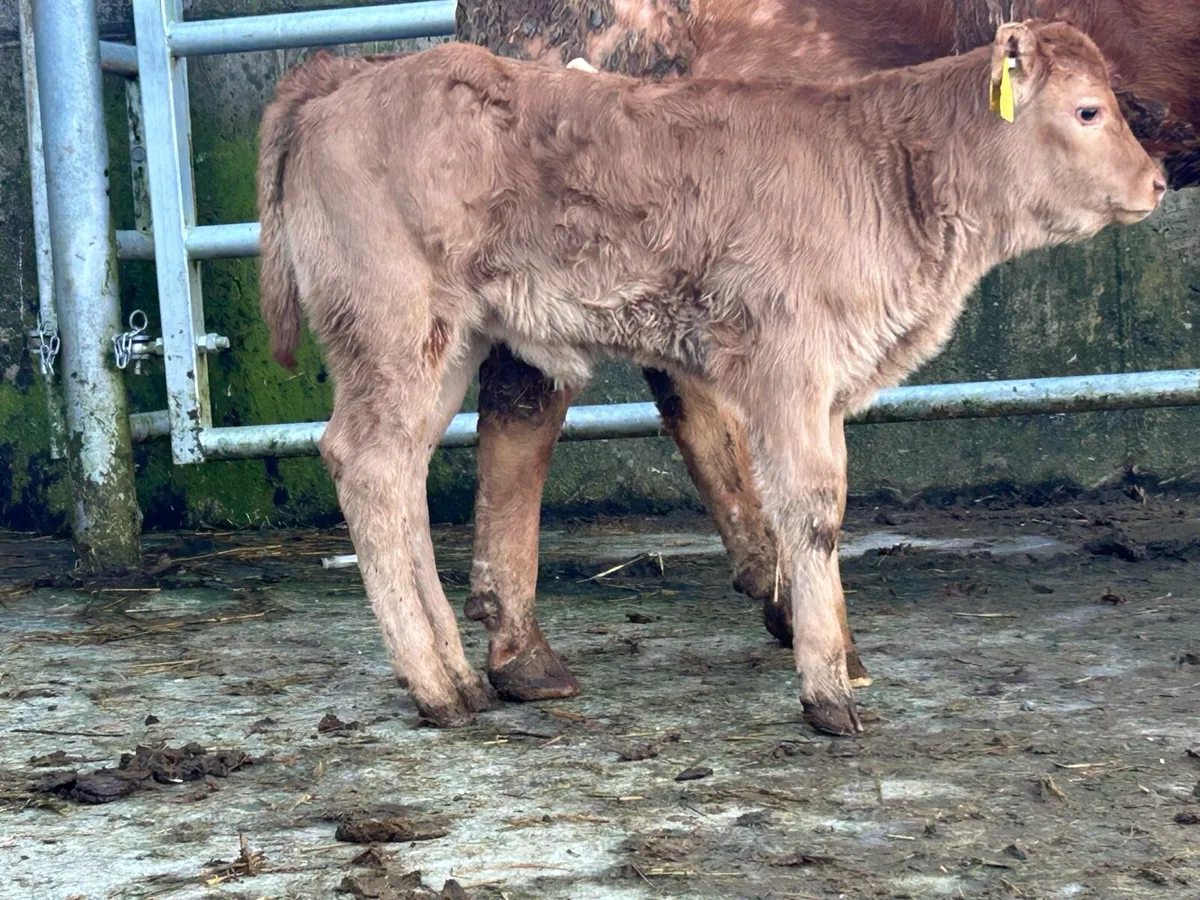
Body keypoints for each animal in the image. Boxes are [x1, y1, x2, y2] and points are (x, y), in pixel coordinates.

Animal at [257, 19, 1165, 734]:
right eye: (1088, 110)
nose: (1158, 180)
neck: (890, 172)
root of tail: (346, 75)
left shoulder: (827, 387)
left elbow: (827, 506)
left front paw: (838, 649)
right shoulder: (790, 368)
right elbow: (809, 510)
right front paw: (827, 692)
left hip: (446, 344)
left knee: (401, 475)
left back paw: (460, 674)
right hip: (392, 326)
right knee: (366, 463)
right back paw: (436, 688)